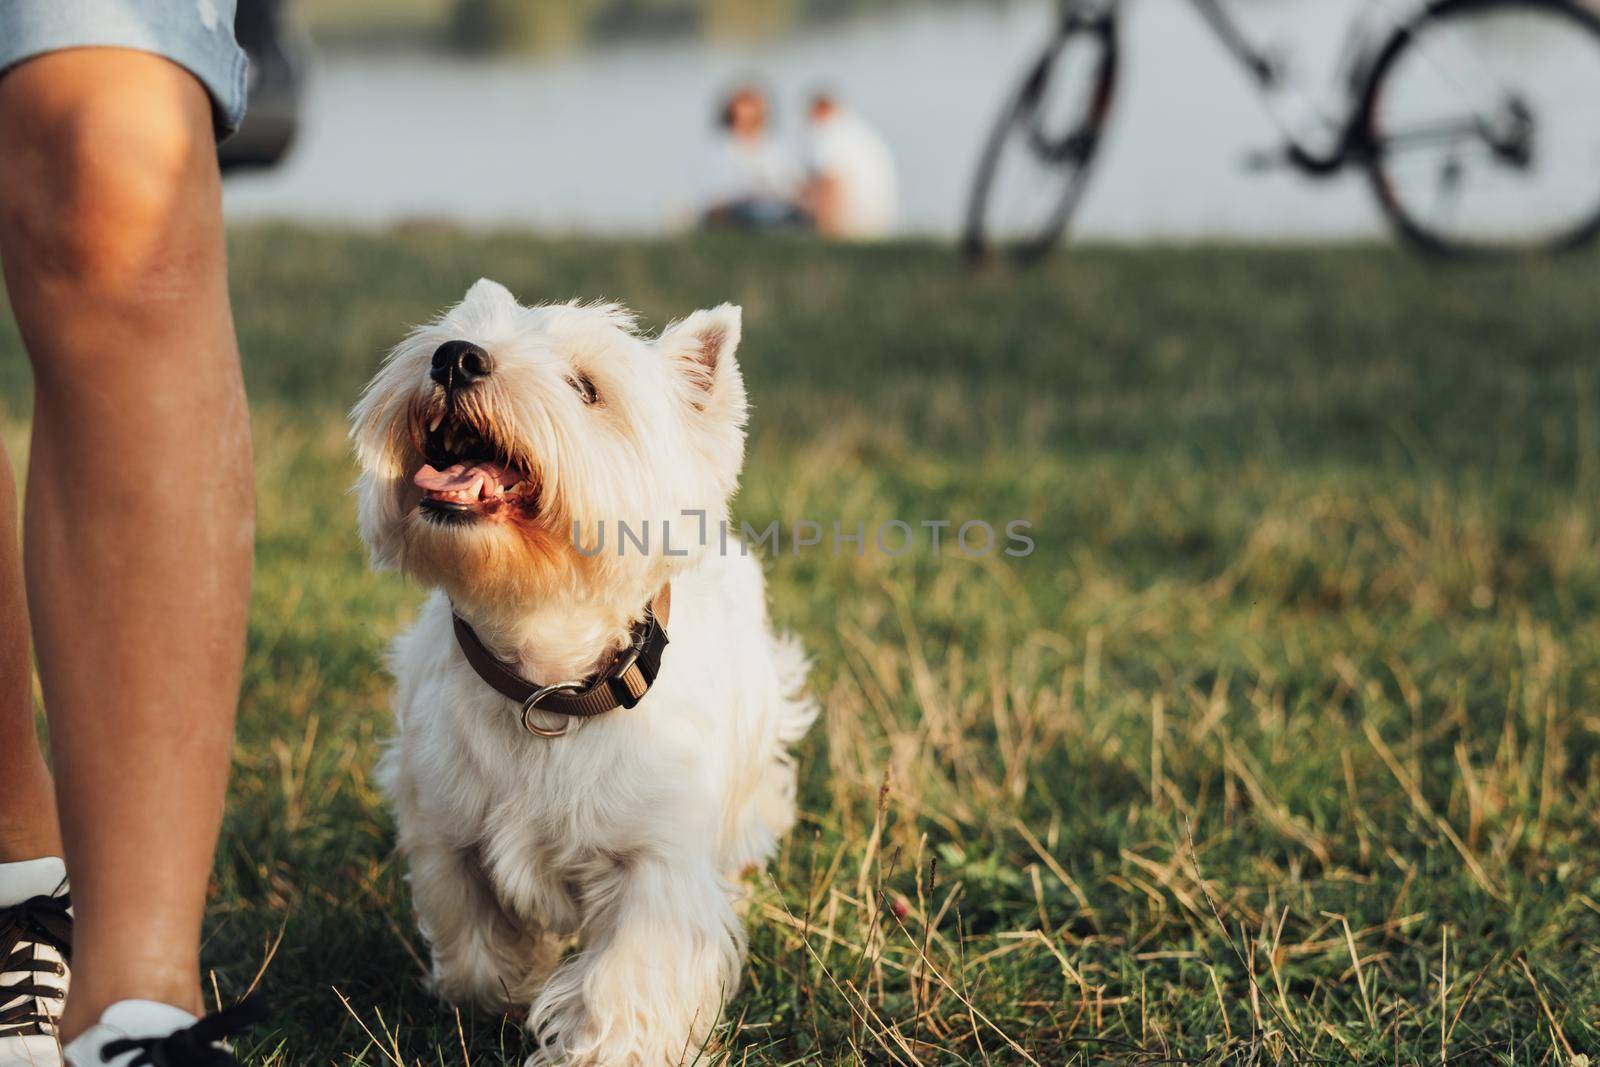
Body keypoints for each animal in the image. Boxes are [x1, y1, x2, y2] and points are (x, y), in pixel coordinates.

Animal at [355, 279, 819, 1062]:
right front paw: (508, 989)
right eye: (459, 331)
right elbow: (471, 938)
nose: (455, 357)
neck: (546, 682)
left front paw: (600, 1046)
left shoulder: (654, 860)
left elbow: (626, 979)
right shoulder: (445, 826)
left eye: (586, 387)